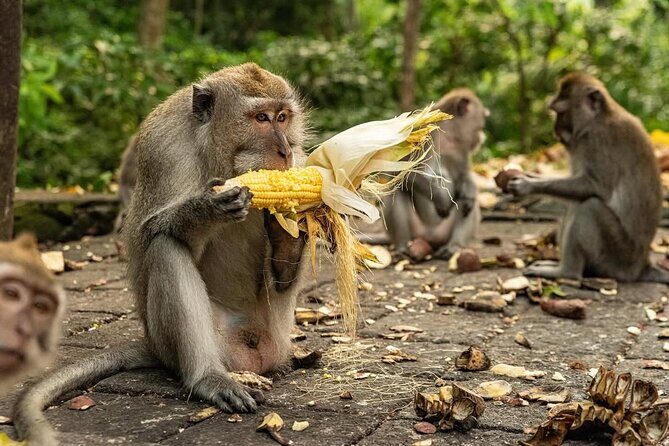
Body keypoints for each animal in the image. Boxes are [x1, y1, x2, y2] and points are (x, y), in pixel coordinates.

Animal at [14, 63, 309, 445]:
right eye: (261, 118)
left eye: (283, 117)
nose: (285, 151)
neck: (221, 158)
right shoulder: (164, 148)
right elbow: (151, 234)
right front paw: (207, 207)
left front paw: (291, 230)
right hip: (183, 343)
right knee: (166, 247)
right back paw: (207, 377)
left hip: (276, 329)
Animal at [382, 88, 488, 259]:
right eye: (482, 120)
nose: (482, 136)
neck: (448, 133)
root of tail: (430, 237)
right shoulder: (417, 133)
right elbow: (399, 171)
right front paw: (442, 198)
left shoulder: (462, 149)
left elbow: (464, 176)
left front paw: (469, 191)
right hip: (416, 230)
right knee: (396, 190)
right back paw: (402, 246)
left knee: (468, 203)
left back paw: (453, 246)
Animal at [507, 72, 669, 283]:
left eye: (561, 113)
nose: (556, 131)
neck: (599, 117)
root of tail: (642, 267)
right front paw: (528, 176)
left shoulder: (598, 140)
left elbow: (595, 187)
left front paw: (527, 185)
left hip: (619, 257)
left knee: (589, 207)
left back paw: (566, 272)